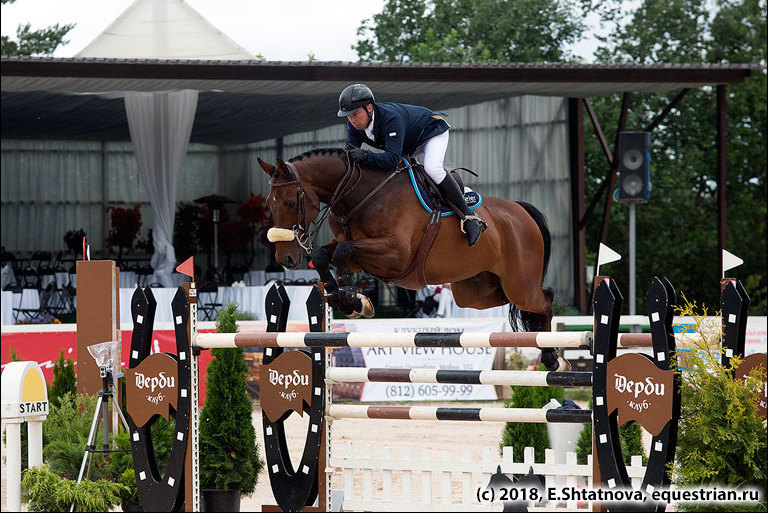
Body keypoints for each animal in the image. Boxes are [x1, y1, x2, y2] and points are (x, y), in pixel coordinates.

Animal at [260, 146, 568, 370]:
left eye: (290, 202)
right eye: (268, 204)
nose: (286, 258)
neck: (359, 193)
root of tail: (522, 211)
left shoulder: (395, 254)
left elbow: (344, 250)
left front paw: (351, 298)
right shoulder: (363, 252)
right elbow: (325, 254)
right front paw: (345, 299)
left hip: (518, 286)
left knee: (545, 299)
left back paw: (554, 359)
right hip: (479, 292)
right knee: (532, 302)